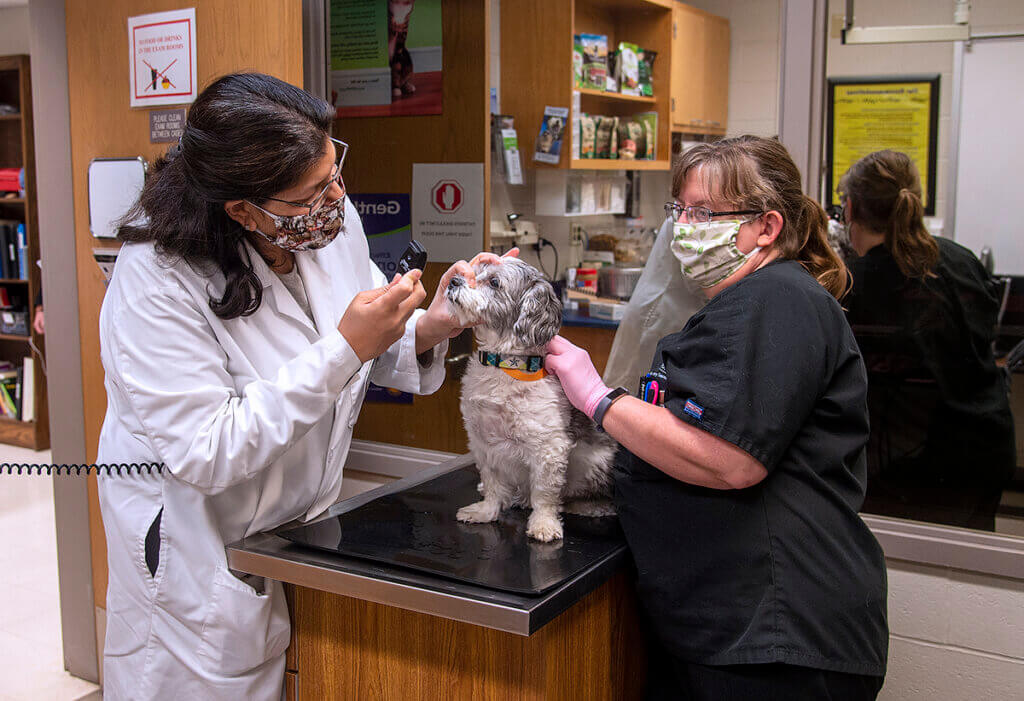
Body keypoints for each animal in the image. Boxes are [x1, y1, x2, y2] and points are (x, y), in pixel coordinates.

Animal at [446, 256, 614, 540]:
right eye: (472, 272)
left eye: (494, 282)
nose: (453, 280)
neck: (503, 365)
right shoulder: (483, 442)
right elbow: (492, 482)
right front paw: (486, 511)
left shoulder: (549, 448)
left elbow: (545, 493)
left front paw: (544, 524)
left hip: (591, 463)